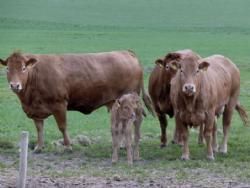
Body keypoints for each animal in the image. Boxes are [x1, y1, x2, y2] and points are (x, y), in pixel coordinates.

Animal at [0, 50, 154, 153]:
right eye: (7, 68)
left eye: (23, 68)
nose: (15, 85)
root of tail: (126, 52)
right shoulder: (36, 110)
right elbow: (39, 128)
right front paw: (38, 147)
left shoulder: (59, 104)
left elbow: (62, 126)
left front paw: (68, 146)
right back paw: (120, 144)